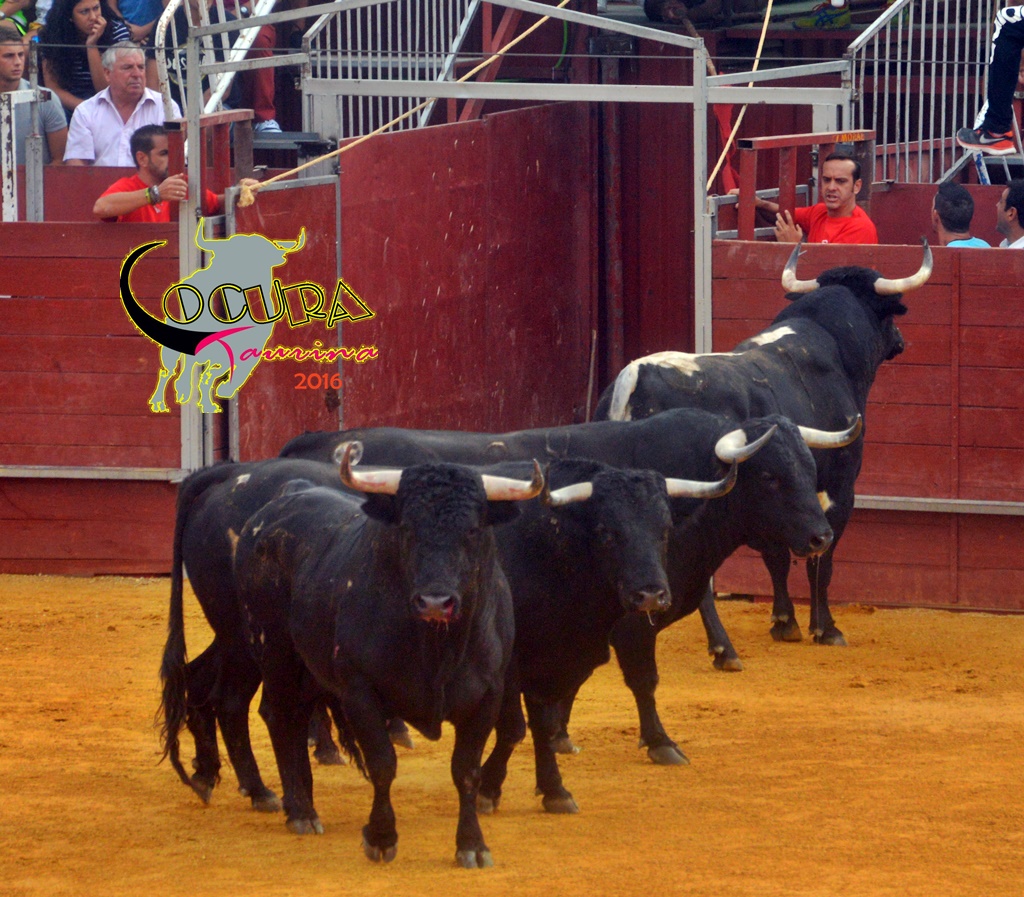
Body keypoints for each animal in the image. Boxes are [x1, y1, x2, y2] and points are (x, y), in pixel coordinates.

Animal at [119, 220, 305, 412]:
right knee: (168, 370)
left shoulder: (252, 347)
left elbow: (228, 372)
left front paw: (220, 393)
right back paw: (161, 402)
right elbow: (206, 374)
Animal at [232, 444, 543, 867]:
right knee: (279, 715)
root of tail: (282, 502)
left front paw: (472, 844)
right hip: (274, 650)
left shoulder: (488, 696)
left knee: (296, 718)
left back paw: (305, 803)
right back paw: (300, 811)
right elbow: (383, 764)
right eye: (407, 528)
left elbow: (466, 770)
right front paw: (380, 837)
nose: (435, 601)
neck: (437, 648)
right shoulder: (359, 692)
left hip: (309, 669)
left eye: (472, 531)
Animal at [280, 408, 857, 763]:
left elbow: (574, 678)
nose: (821, 536)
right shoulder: (629, 622)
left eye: (809, 468)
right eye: (771, 477)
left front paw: (557, 735)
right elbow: (642, 680)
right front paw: (661, 743)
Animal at [593, 241, 933, 648]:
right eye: (888, 310)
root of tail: (635, 377)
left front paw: (784, 621)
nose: (900, 340)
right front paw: (824, 627)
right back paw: (720, 644)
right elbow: (822, 557)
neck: (830, 343)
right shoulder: (839, 485)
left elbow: (777, 556)